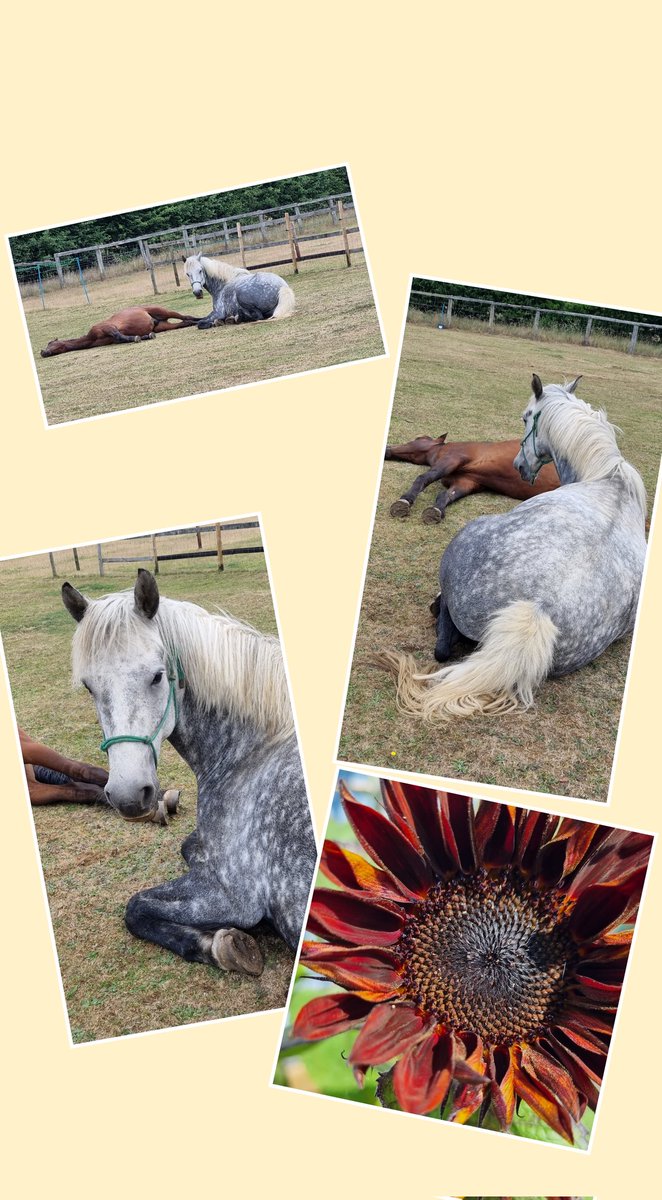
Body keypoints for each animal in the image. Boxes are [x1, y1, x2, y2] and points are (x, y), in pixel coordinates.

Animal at [40, 306, 200, 357]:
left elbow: (120, 336)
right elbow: (121, 338)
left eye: (50, 343)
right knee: (185, 322)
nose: (42, 352)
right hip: (163, 326)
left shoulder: (108, 328)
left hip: (163, 311)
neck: (91, 338)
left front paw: (137, 338)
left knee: (186, 316)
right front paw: (145, 336)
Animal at [61, 569, 316, 975]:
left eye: (157, 676)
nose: (128, 795)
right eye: (89, 687)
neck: (254, 753)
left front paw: (224, 946)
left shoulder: (233, 897)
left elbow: (135, 907)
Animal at [385, 433, 559, 522]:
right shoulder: (467, 482)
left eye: (418, 439)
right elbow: (446, 495)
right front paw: (436, 511)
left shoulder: (451, 459)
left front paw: (405, 501)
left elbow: (423, 478)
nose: (387, 449)